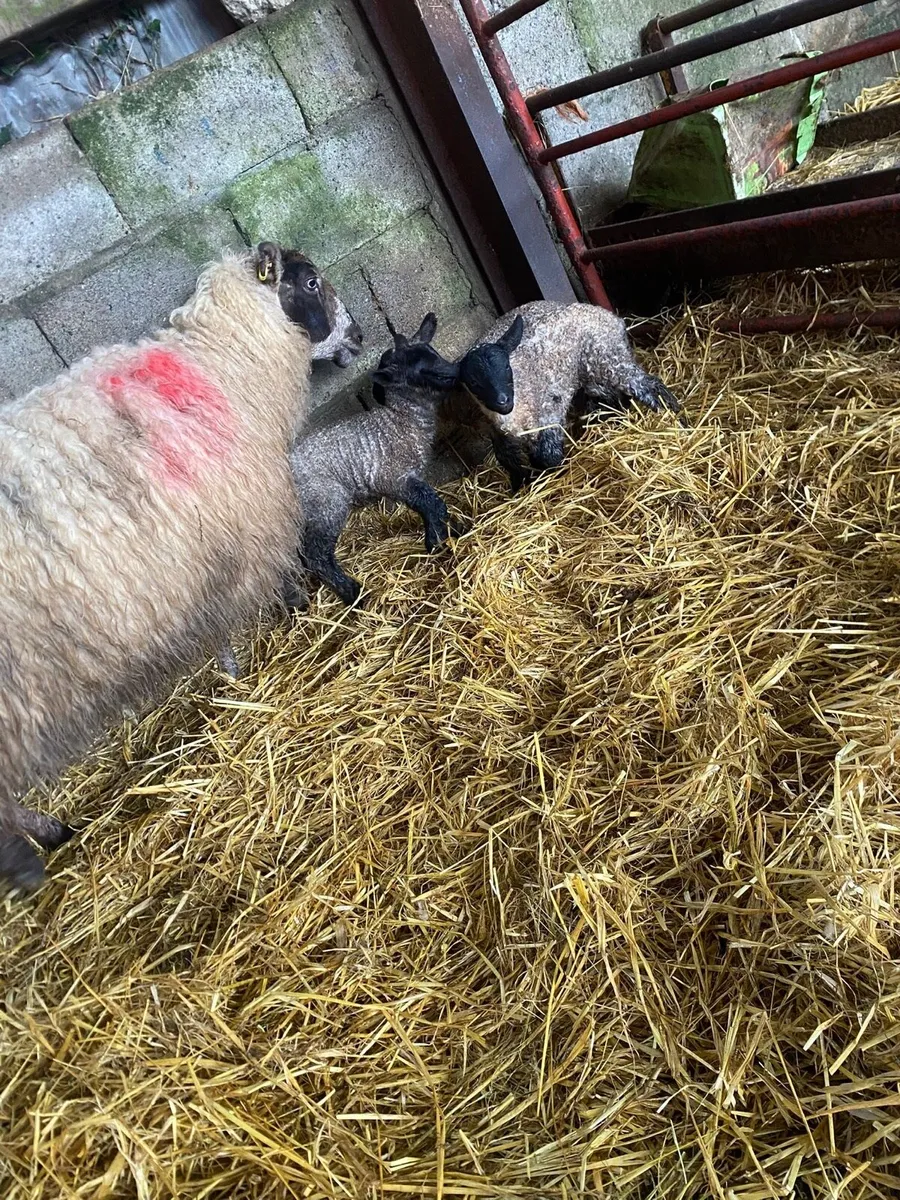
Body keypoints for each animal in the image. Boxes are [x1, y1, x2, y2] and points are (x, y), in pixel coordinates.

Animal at [0, 240, 362, 893]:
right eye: (310, 281)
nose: (361, 335)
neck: (225, 363)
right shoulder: (232, 534)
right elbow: (234, 617)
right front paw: (253, 664)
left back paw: (52, 833)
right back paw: (36, 860)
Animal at [457, 301, 682, 493]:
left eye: (506, 367)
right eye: (474, 383)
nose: (503, 401)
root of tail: (612, 318)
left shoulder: (548, 411)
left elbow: (548, 456)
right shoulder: (499, 434)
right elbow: (509, 460)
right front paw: (521, 485)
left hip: (608, 359)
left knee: (648, 385)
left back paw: (675, 418)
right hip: (593, 376)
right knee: (609, 398)